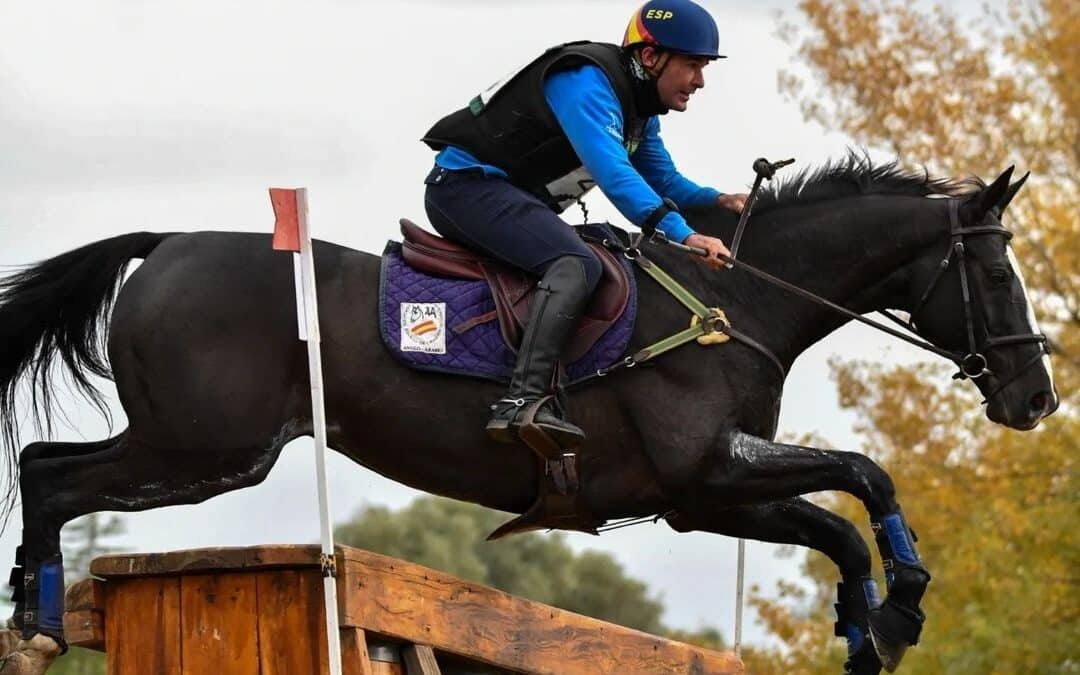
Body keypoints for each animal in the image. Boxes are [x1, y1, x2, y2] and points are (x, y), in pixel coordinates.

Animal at [0, 155, 1054, 669]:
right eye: (997, 272)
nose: (1035, 398)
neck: (737, 302)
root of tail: (164, 241)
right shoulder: (708, 469)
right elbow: (863, 474)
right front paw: (902, 606)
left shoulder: (704, 494)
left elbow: (837, 527)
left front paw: (872, 630)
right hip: (206, 447)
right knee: (50, 473)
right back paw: (37, 619)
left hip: (191, 444)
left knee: (45, 465)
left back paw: (32, 611)